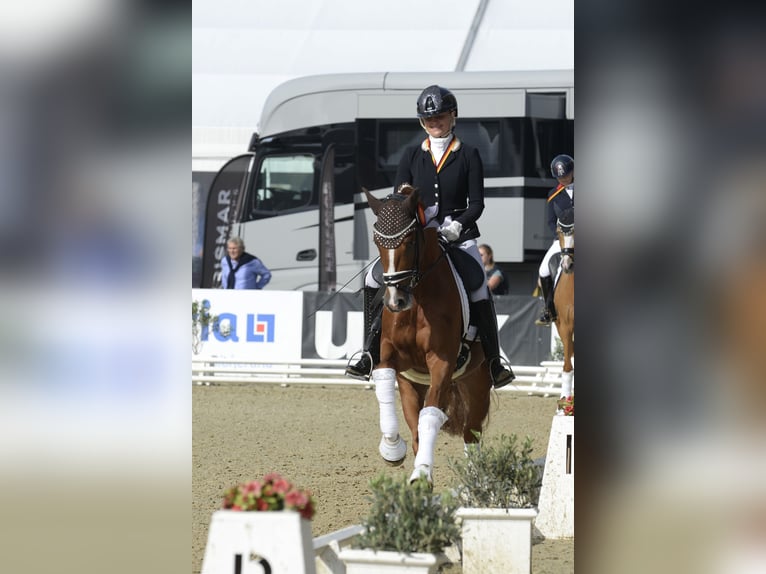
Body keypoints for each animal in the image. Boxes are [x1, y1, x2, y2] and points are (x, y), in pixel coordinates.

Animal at [366, 186, 492, 486]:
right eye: (377, 240)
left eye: (411, 241)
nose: (395, 302)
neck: (418, 299)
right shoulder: (389, 356)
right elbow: (385, 387)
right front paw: (391, 449)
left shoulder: (442, 362)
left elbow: (431, 415)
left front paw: (422, 473)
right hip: (412, 383)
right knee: (416, 427)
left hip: (477, 383)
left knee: (471, 433)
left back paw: (475, 483)